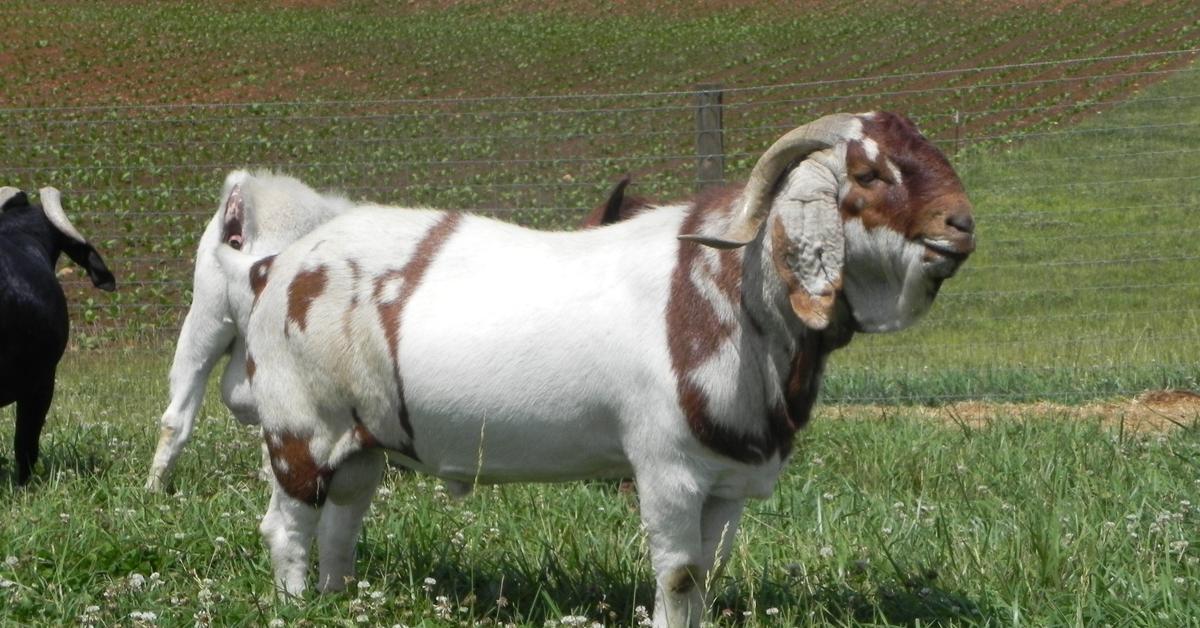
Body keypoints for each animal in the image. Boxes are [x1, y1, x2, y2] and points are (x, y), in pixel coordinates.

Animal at [220, 110, 979, 624]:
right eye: (870, 174)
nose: (963, 224)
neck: (724, 292)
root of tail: (280, 264)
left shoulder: (727, 485)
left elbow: (709, 572)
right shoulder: (667, 469)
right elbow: (679, 577)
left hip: (363, 440)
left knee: (343, 519)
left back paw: (339, 598)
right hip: (300, 428)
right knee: (288, 525)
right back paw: (296, 605)